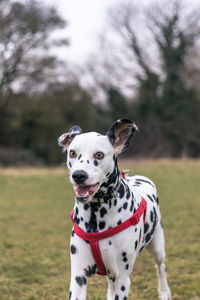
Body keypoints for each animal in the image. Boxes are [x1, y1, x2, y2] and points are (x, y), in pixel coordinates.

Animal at [58, 119, 172, 300]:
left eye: (99, 155)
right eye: (73, 153)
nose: (79, 175)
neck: (97, 213)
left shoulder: (122, 280)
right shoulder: (79, 276)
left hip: (158, 246)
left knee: (160, 266)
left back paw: (164, 291)